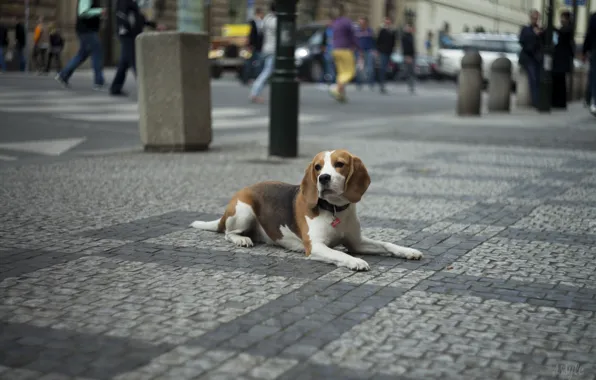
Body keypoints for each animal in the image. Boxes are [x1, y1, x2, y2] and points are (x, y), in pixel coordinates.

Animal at [191, 148, 424, 270]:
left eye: (339, 164)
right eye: (318, 167)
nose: (324, 178)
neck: (335, 209)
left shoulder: (356, 242)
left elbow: (387, 244)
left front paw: (408, 251)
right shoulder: (316, 247)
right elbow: (339, 254)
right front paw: (355, 261)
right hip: (244, 211)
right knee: (227, 233)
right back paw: (241, 239)